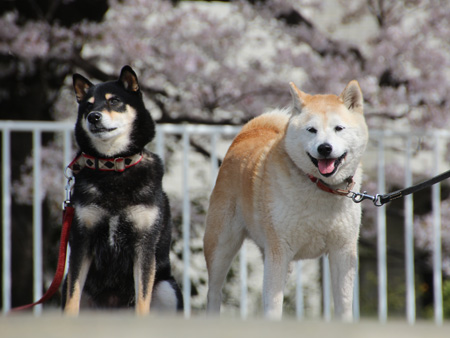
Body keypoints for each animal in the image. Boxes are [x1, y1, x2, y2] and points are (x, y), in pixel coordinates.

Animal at [61, 65, 183, 314]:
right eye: (88, 105)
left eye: (114, 101)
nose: (93, 116)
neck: (113, 166)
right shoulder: (81, 240)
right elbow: (72, 298)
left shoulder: (144, 244)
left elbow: (143, 301)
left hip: (167, 287)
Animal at [204, 80, 370, 320]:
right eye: (311, 130)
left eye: (339, 128)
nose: (324, 148)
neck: (319, 187)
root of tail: (248, 133)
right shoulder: (279, 251)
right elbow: (273, 307)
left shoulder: (343, 251)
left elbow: (344, 306)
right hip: (222, 245)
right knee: (214, 292)